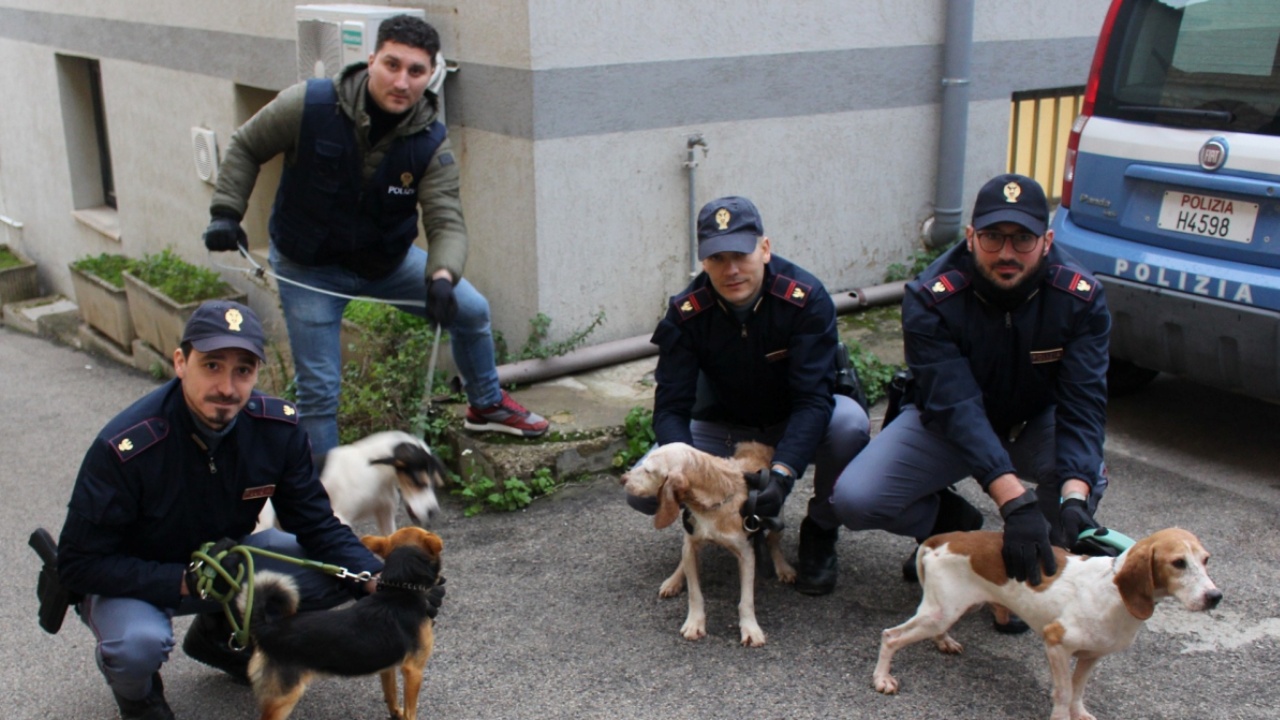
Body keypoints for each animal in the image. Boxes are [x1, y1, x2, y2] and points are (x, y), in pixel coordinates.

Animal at [243, 520, 445, 717]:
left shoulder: (387, 667)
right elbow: (411, 711)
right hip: (284, 697)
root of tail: (266, 628)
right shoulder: (413, 671)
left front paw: (396, 713)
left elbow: (391, 694)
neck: (401, 588)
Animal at [254, 427, 445, 535]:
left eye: (434, 483)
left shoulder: (385, 515)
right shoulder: (340, 518)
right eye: (418, 482)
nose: (433, 512)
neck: (374, 471)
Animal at [616, 440, 788, 648]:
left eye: (648, 470)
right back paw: (673, 581)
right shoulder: (690, 546)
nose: (623, 478)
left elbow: (746, 601)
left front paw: (750, 629)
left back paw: (784, 568)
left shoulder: (746, 555)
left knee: (773, 540)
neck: (711, 505)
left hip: (777, 516)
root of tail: (756, 445)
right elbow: (694, 593)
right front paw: (694, 623)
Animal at [870, 525, 1218, 712]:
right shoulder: (1056, 645)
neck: (1114, 593)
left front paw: (1079, 714)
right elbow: (1063, 694)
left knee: (936, 629)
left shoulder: (1091, 656)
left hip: (954, 608)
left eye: (1205, 560)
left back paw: (944, 642)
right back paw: (882, 678)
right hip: (939, 613)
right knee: (891, 636)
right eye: (1178, 563)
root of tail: (942, 538)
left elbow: (1077, 691)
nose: (1215, 597)